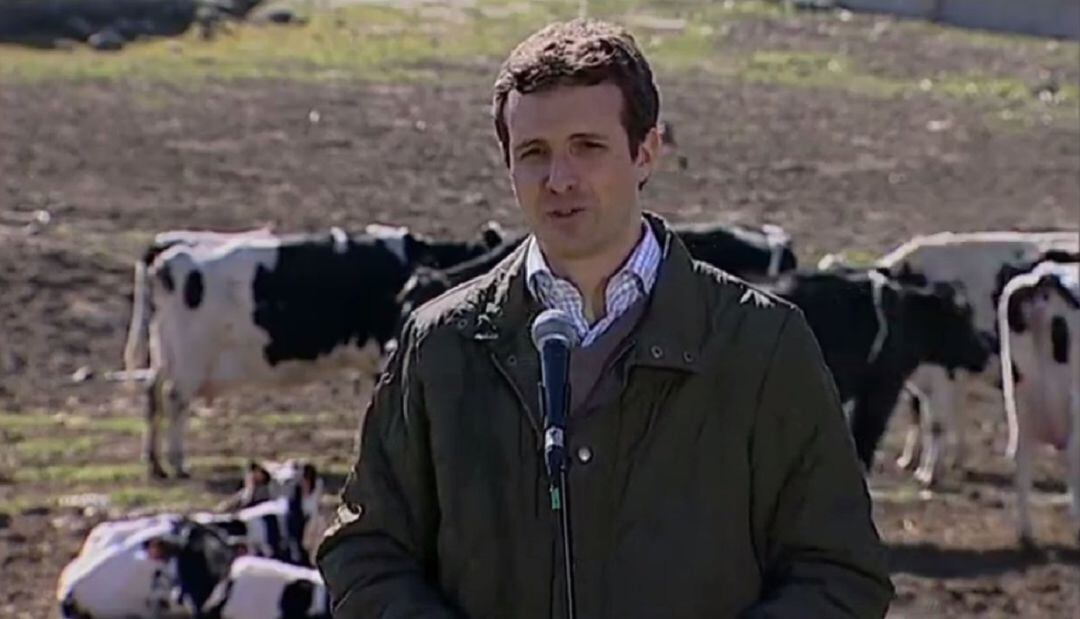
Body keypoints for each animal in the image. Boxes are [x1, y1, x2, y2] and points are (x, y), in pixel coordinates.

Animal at [123, 223, 505, 477]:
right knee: (174, 399)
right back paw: (177, 462)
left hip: (165, 351)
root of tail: (168, 245)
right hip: (188, 355)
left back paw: (154, 462)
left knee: (152, 392)